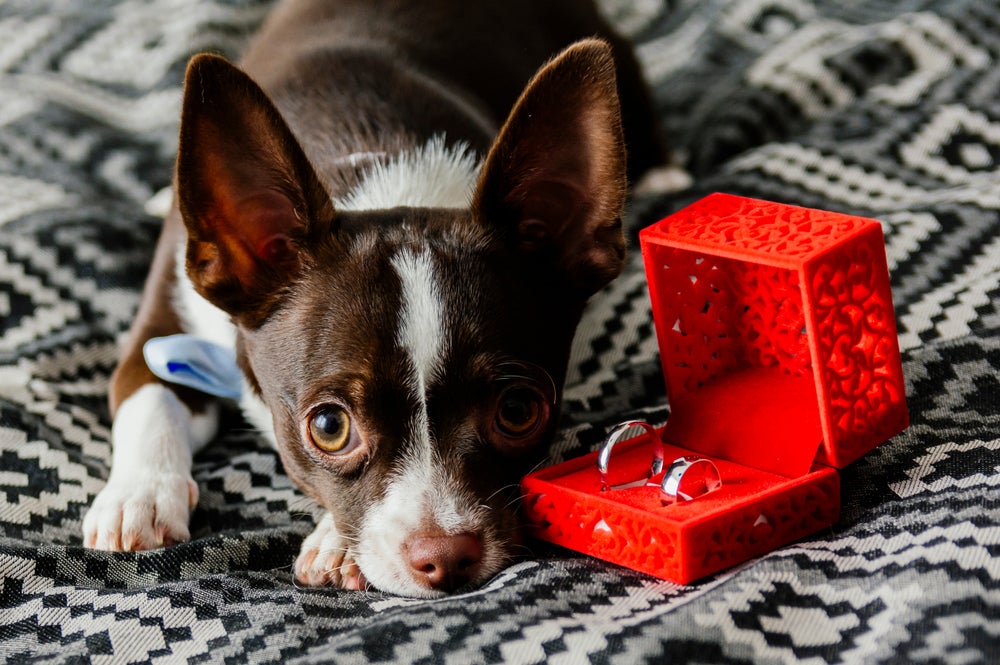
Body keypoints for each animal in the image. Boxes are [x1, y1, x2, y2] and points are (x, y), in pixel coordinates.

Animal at [82, 0, 664, 596]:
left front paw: (336, 543)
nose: (445, 555)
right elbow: (147, 397)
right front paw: (140, 496)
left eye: (519, 411)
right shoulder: (161, 328)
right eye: (329, 428)